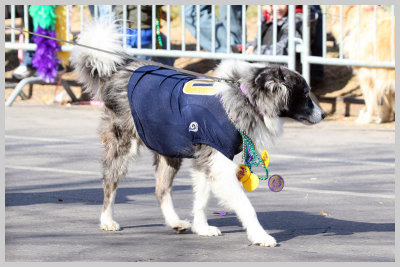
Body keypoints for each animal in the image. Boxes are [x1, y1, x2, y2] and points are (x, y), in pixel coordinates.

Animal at [69, 20, 324, 247]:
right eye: (304, 94)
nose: (323, 115)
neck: (245, 96)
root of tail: (119, 69)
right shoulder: (219, 164)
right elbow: (246, 206)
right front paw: (260, 236)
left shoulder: (206, 158)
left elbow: (201, 199)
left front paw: (201, 228)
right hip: (124, 144)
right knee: (110, 182)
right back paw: (107, 220)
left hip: (167, 147)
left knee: (160, 189)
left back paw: (175, 222)